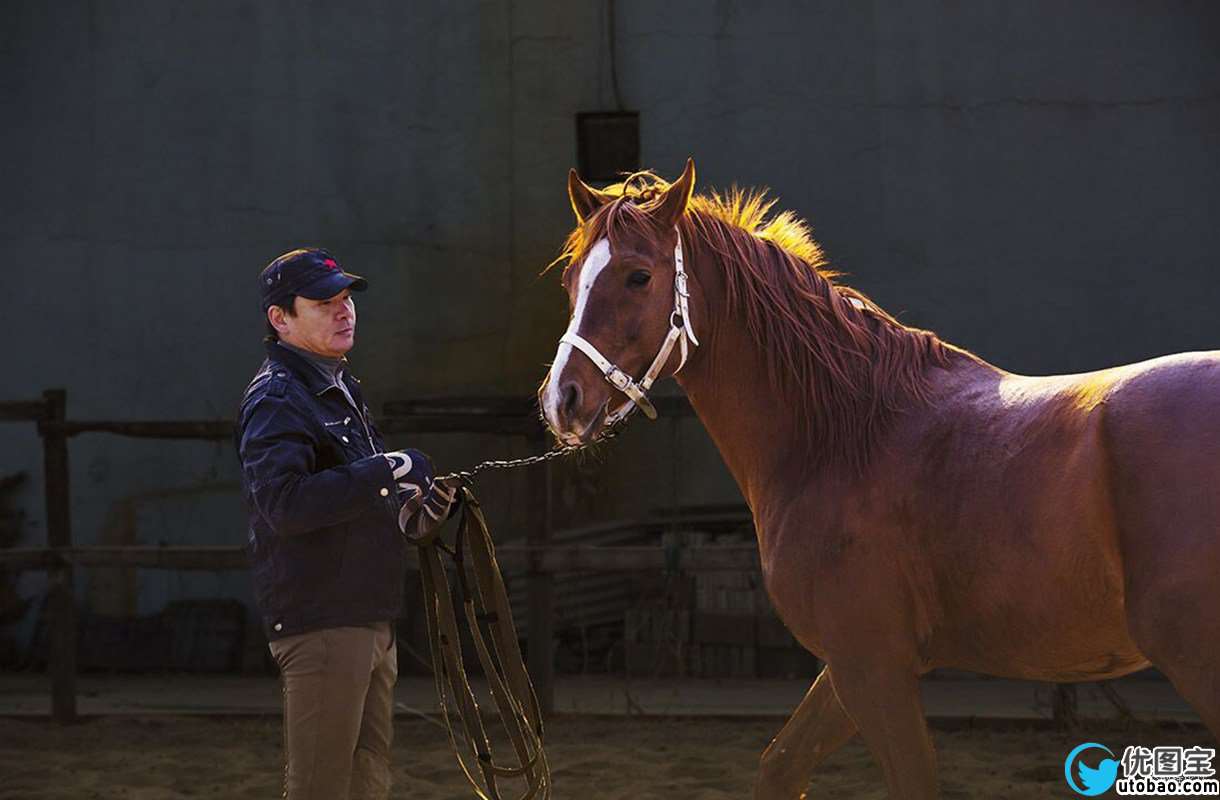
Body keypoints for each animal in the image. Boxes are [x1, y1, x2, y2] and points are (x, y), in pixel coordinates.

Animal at [534, 159, 1220, 795]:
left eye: (638, 275)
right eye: (570, 278)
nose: (561, 400)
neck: (843, 434)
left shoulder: (871, 667)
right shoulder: (851, 667)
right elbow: (780, 767)